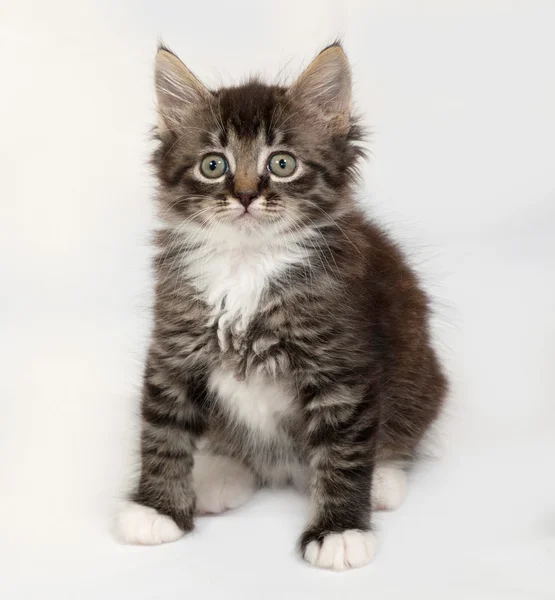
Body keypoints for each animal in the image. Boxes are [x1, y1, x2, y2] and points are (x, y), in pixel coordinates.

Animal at [118, 43, 448, 572]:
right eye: (214, 165)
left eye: (282, 163)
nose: (246, 195)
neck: (247, 265)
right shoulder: (173, 346)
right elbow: (163, 430)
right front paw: (158, 510)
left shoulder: (341, 367)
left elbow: (344, 454)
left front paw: (339, 531)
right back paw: (219, 474)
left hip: (422, 377)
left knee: (398, 438)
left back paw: (383, 480)